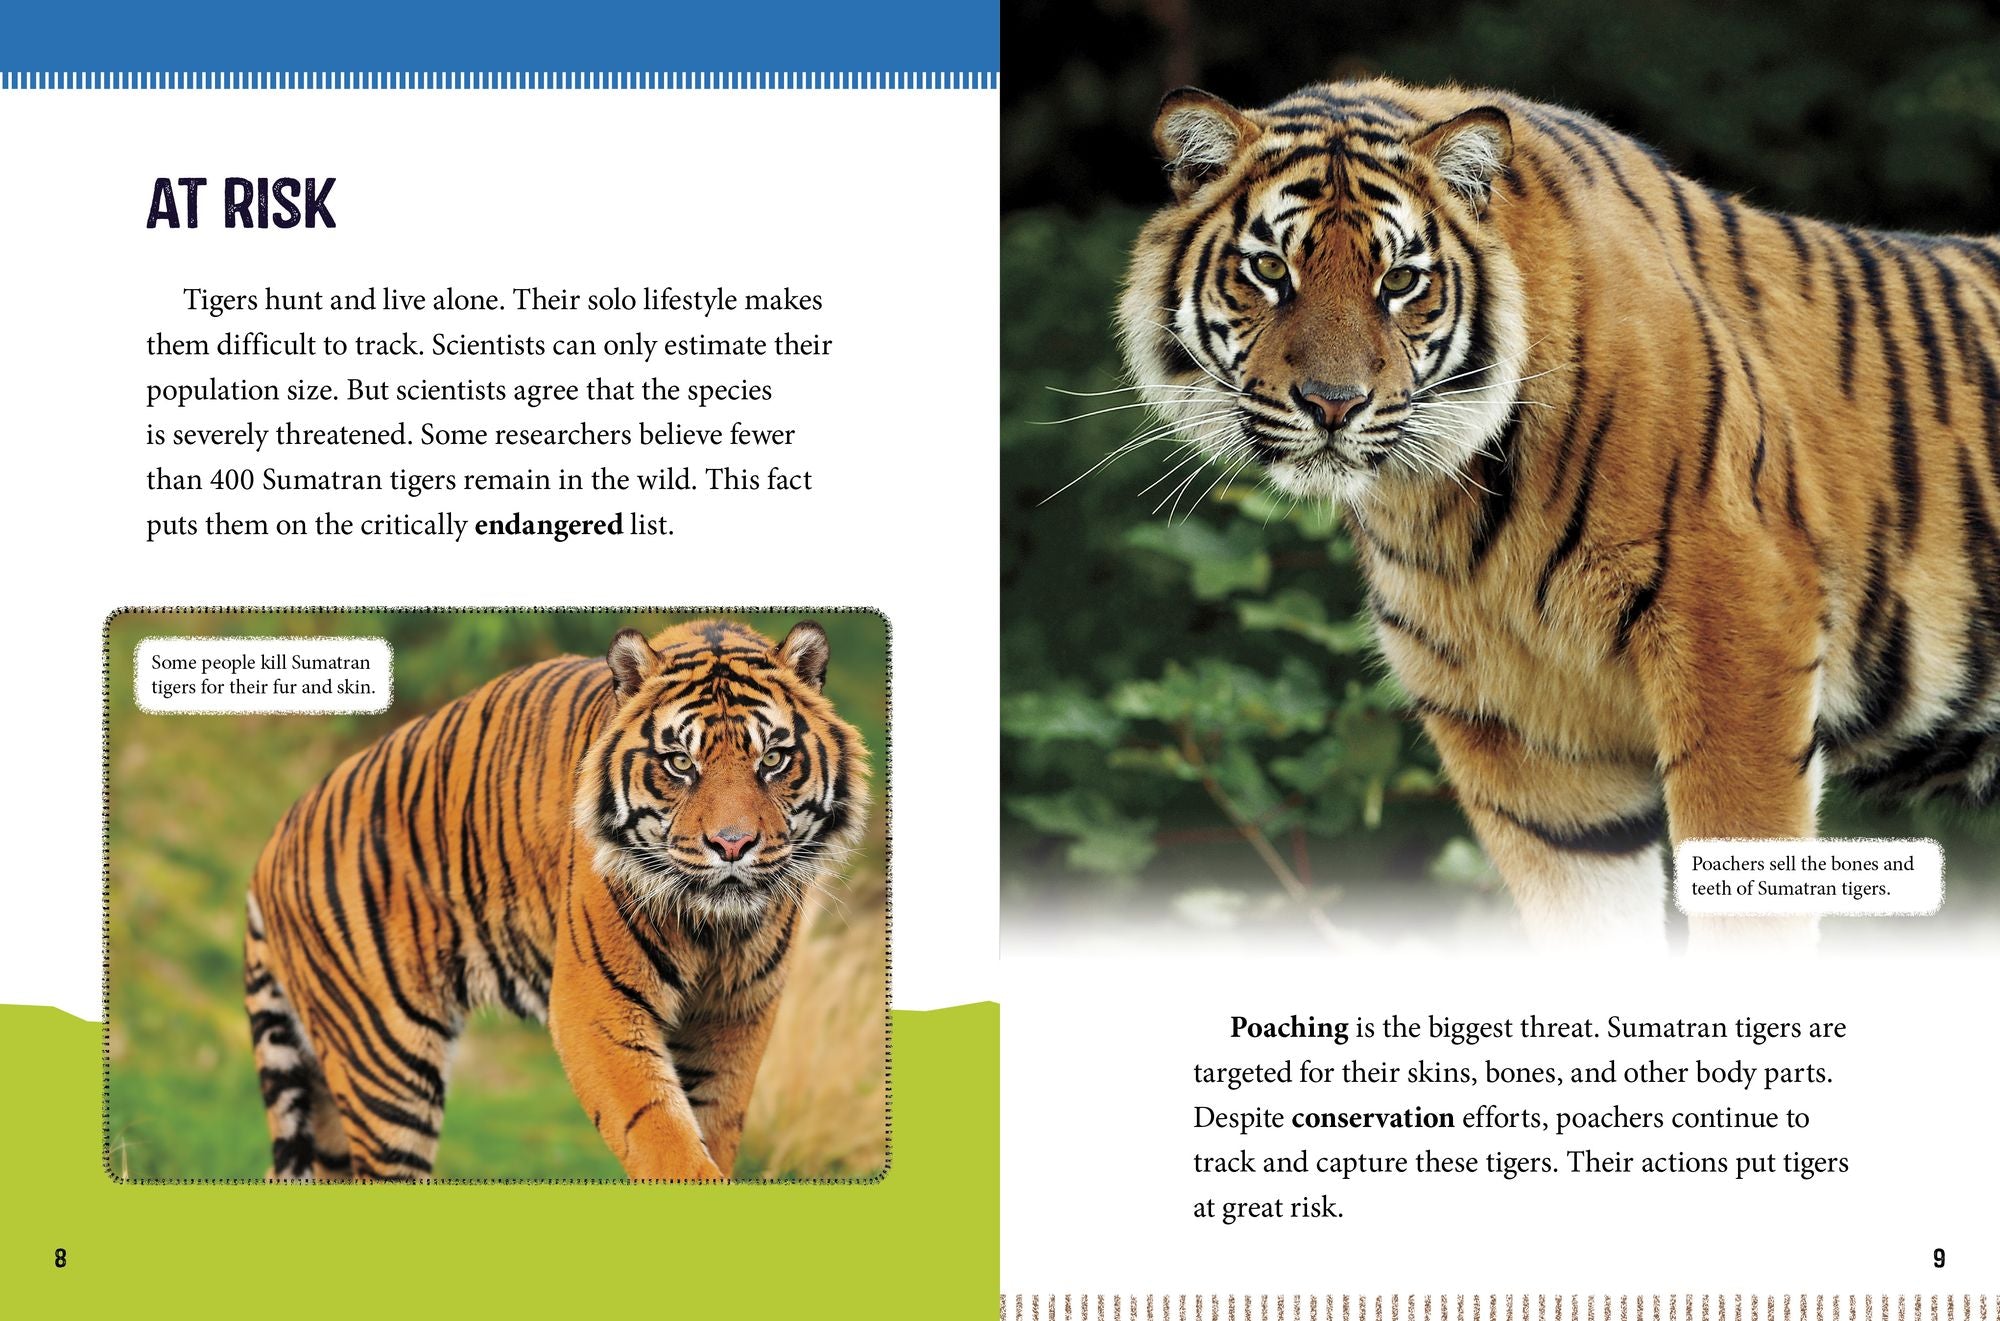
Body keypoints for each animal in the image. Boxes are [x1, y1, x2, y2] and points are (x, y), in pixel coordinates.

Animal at [242, 618, 870, 1180]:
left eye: (773, 760)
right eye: (680, 763)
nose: (732, 845)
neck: (713, 928)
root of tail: (270, 845)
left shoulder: (735, 1017)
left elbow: (711, 1129)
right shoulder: (597, 1006)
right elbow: (661, 1136)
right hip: (386, 1064)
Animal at [1117, 79, 2000, 948]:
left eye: (1400, 281)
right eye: (1269, 269)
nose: (1334, 404)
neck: (1441, 501)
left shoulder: (1741, 638)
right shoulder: (1528, 748)